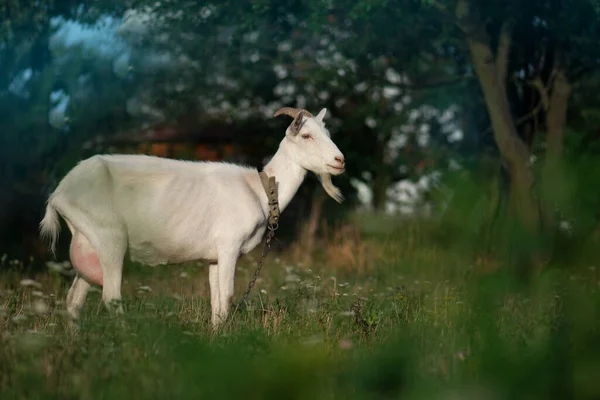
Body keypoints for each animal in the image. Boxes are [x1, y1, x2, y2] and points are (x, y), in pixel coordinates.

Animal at [39, 107, 344, 328]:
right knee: (111, 297)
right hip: (109, 236)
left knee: (74, 300)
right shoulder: (229, 245)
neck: (260, 188)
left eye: (328, 132)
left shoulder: (215, 256)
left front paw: (216, 335)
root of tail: (60, 192)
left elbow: (217, 301)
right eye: (306, 136)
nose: (339, 161)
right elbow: (228, 295)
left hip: (88, 242)